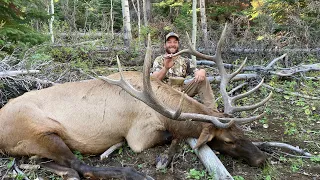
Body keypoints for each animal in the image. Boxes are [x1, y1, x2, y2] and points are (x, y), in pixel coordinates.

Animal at [0, 24, 272, 180]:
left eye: (242, 131)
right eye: (228, 140)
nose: (262, 159)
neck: (161, 109)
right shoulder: (139, 136)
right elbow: (173, 136)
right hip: (39, 131)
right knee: (79, 165)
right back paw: (134, 174)